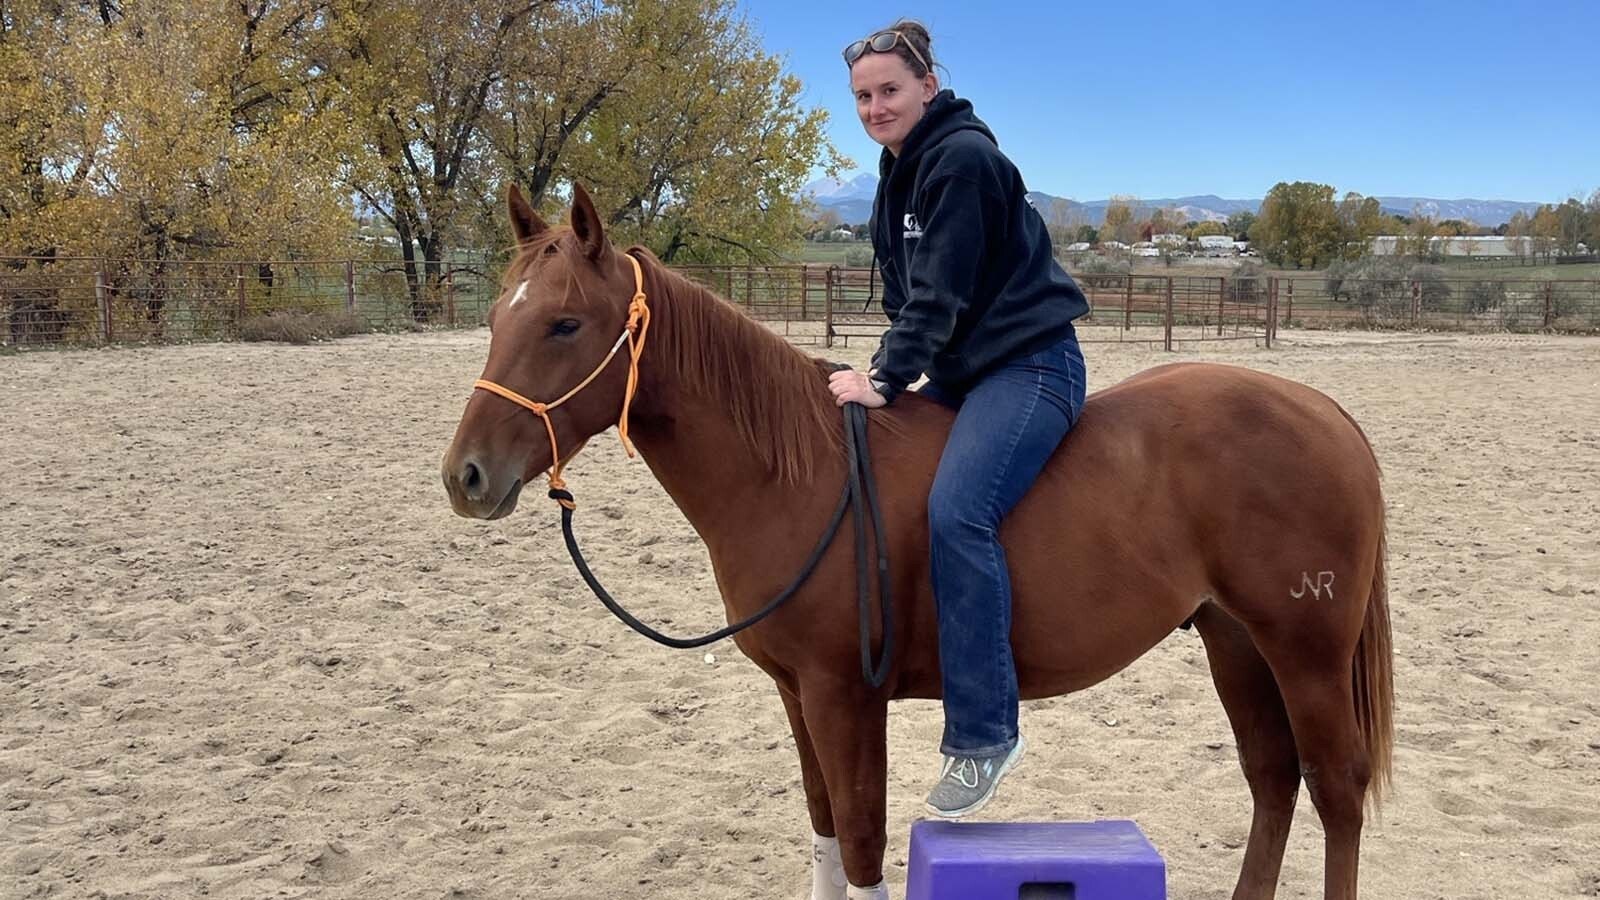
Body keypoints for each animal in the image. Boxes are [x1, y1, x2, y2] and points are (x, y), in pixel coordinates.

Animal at [441, 184, 1394, 900]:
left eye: (565, 325)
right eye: (494, 318)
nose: (466, 477)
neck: (797, 473)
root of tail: (1326, 413)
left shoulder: (845, 698)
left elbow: (863, 844)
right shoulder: (797, 696)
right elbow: (825, 831)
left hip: (1305, 651)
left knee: (1336, 789)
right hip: (1235, 642)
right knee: (1272, 779)